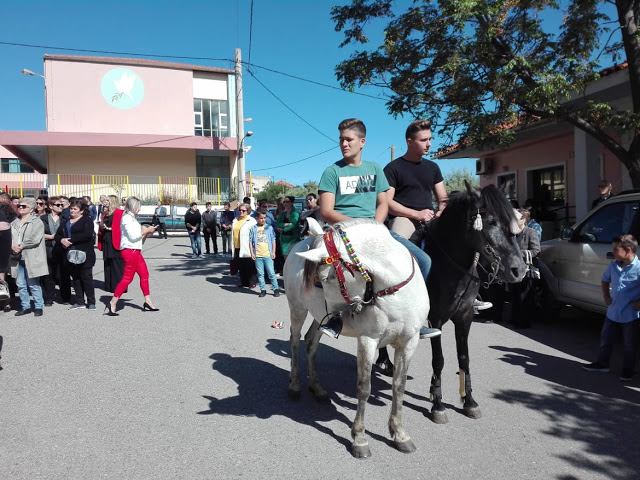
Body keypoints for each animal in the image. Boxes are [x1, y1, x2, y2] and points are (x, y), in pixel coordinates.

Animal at [286, 218, 430, 458]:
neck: (395, 294)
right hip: (298, 309)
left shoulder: (410, 341)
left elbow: (399, 386)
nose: (336, 317)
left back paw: (317, 388)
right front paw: (360, 438)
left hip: (318, 317)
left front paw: (400, 434)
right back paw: (295, 386)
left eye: (326, 278)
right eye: (320, 280)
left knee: (311, 343)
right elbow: (364, 388)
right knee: (295, 340)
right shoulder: (368, 340)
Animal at [380, 182, 524, 422]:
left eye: (513, 222)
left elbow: (464, 358)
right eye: (491, 221)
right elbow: (439, 360)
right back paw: (385, 362)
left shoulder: (465, 316)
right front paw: (437, 404)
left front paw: (469, 400)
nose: (519, 270)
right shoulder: (436, 319)